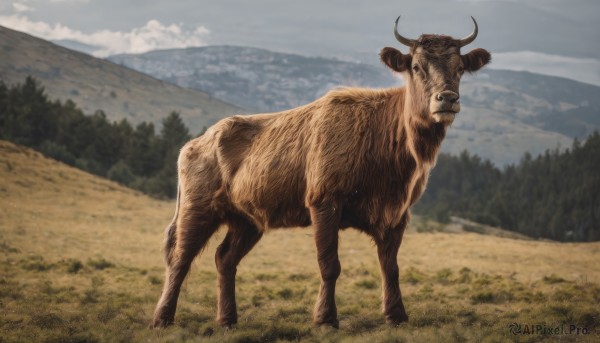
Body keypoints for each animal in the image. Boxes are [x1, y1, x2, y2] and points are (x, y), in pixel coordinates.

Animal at [149, 16, 488, 330]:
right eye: (416, 66)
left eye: (460, 67)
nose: (447, 98)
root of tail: (195, 142)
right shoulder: (324, 201)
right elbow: (329, 264)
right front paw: (326, 318)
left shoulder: (397, 213)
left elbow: (390, 267)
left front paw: (396, 316)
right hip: (197, 208)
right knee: (179, 259)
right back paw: (162, 319)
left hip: (247, 219)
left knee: (225, 258)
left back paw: (228, 319)